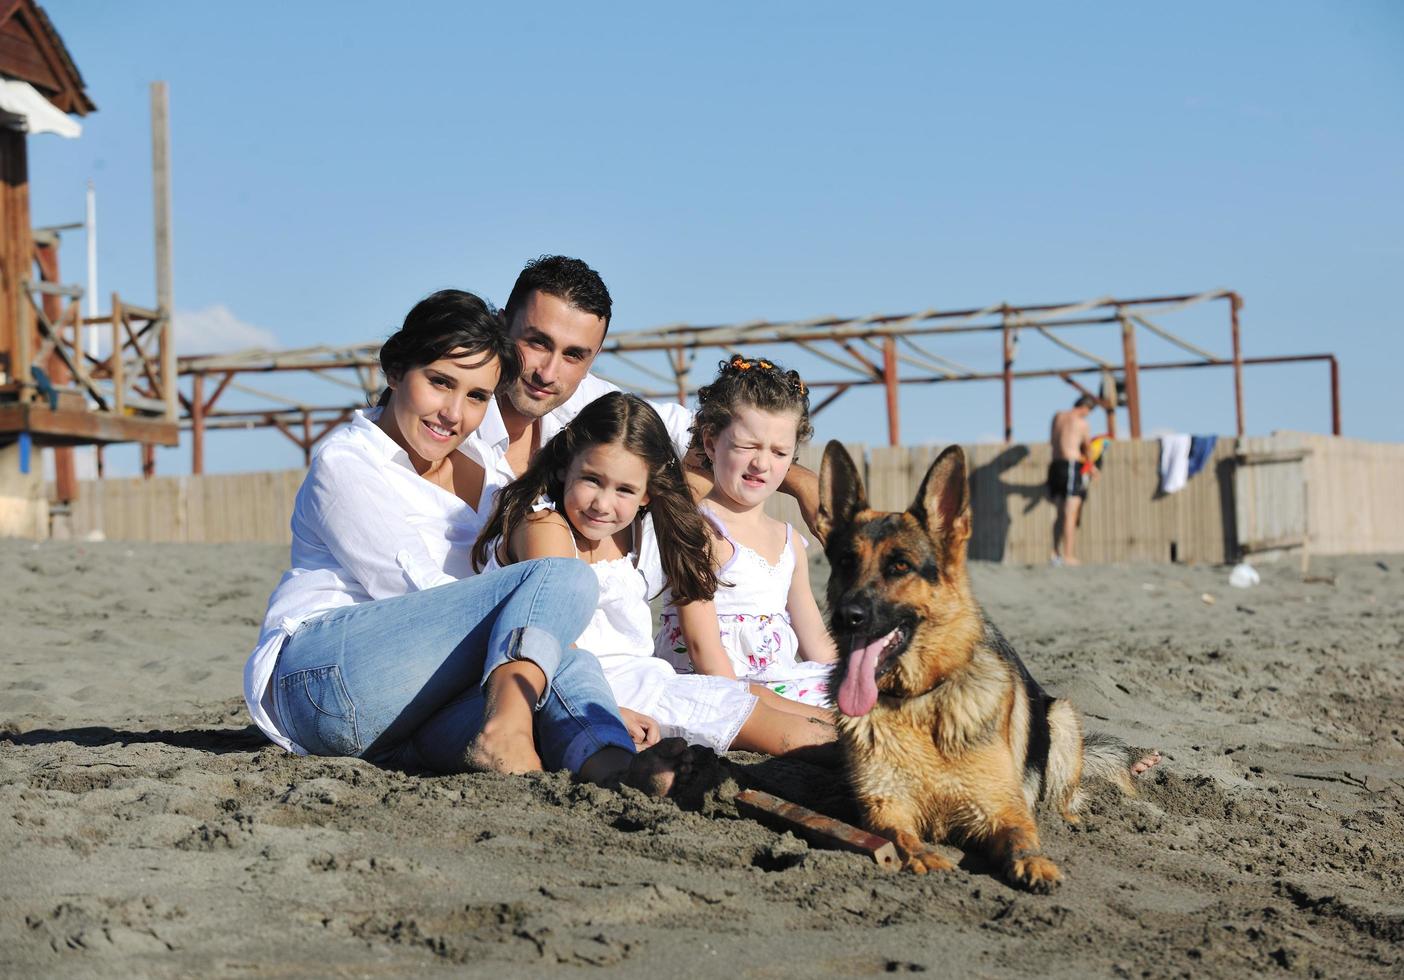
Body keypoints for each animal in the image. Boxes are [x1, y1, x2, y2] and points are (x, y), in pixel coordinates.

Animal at [819, 438, 1145, 887]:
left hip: (1061, 719)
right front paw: (925, 857)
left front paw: (1034, 862)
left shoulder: (1001, 808)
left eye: (900, 566)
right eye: (846, 563)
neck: (920, 701)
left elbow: (1022, 836)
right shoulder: (886, 808)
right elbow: (901, 838)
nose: (845, 616)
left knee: (1063, 797)